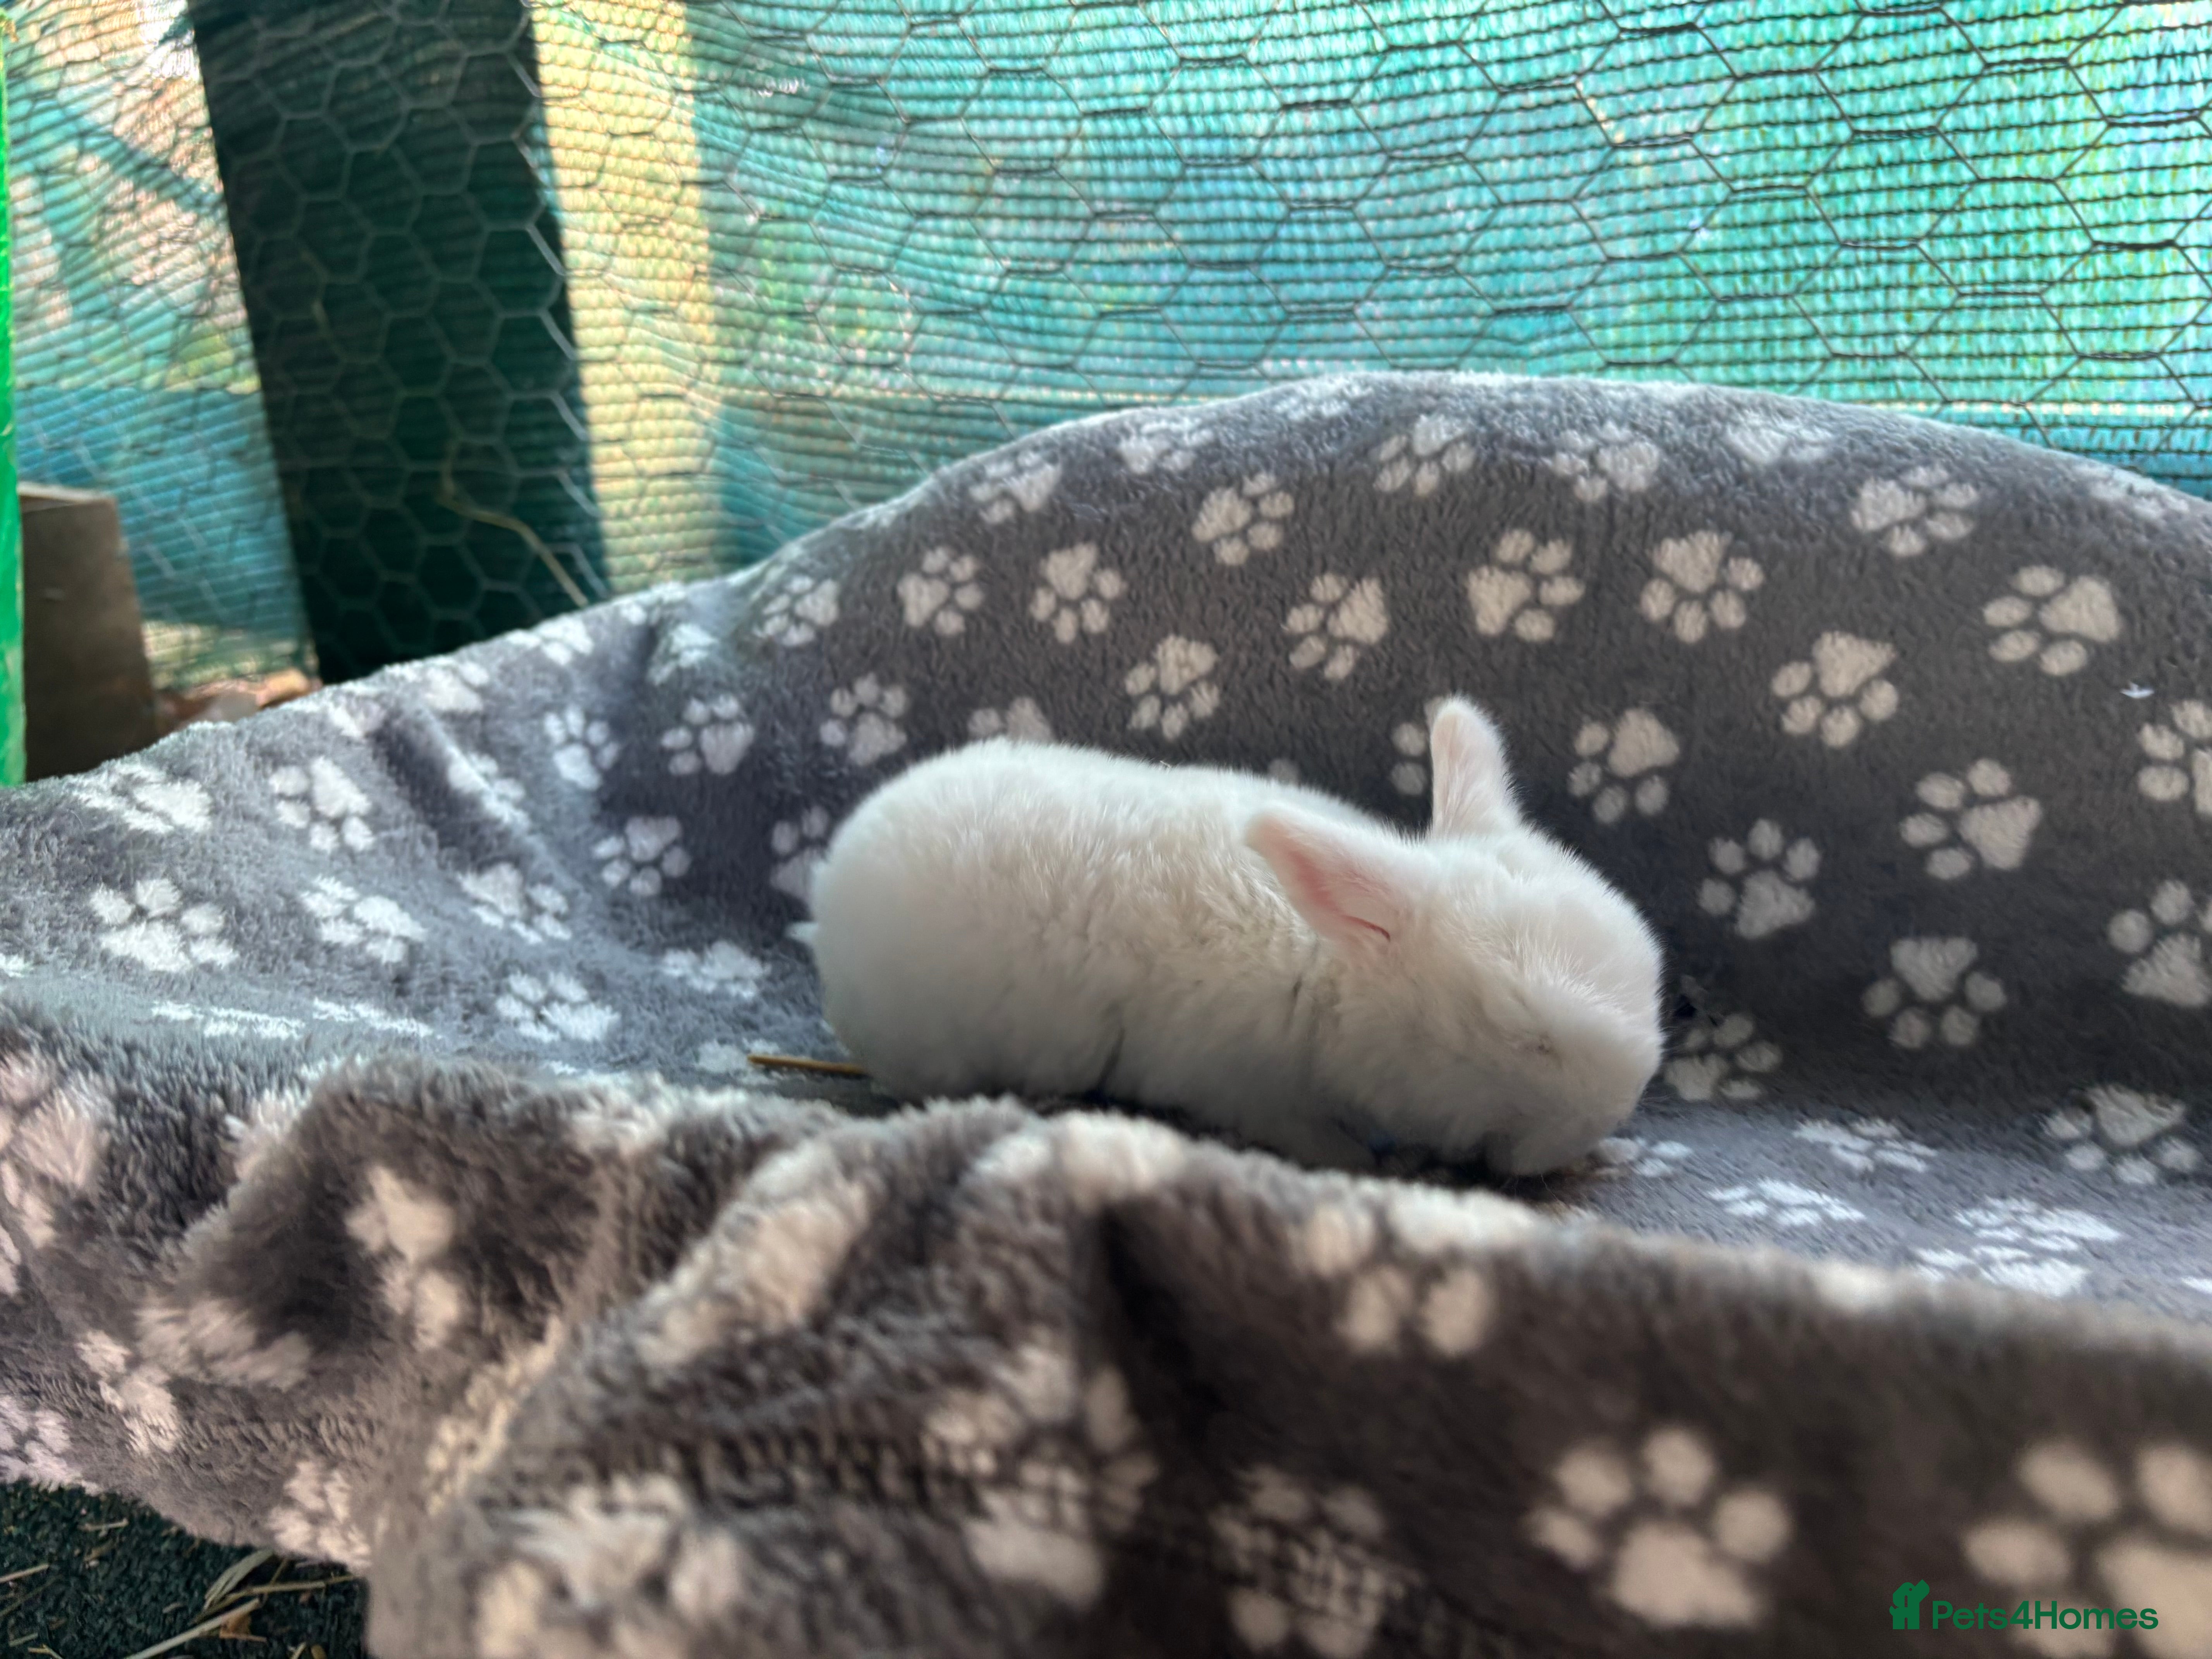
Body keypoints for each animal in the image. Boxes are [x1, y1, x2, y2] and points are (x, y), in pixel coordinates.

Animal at [804, 697, 1666, 1176]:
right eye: (1529, 1037)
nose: (1607, 1119)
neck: (1329, 970)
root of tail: (828, 885)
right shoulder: (1252, 1091)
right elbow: (1312, 1140)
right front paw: (1374, 1161)